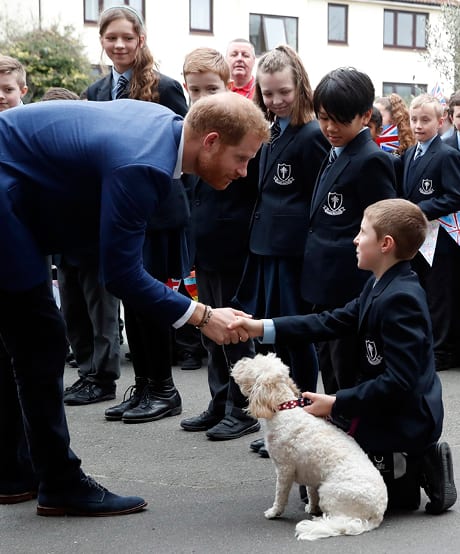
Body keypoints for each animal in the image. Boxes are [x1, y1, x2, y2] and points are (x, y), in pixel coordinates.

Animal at [232, 352, 386, 536]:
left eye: (253, 365)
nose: (238, 362)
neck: (285, 409)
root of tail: (377, 514)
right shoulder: (310, 472)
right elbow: (310, 492)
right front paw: (312, 508)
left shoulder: (284, 469)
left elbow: (280, 495)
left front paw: (274, 512)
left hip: (329, 492)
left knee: (337, 519)